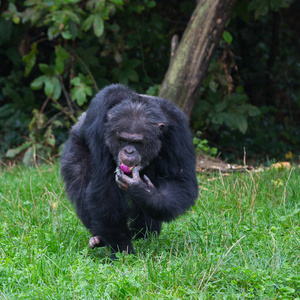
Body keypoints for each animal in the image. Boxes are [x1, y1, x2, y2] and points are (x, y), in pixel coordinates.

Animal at [59, 84, 198, 258]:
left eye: (138, 142)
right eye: (123, 140)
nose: (129, 151)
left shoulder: (178, 131)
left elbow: (181, 181)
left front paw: (142, 190)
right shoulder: (100, 126)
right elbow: (105, 191)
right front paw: (122, 250)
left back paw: (143, 236)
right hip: (75, 147)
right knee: (79, 180)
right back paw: (99, 238)